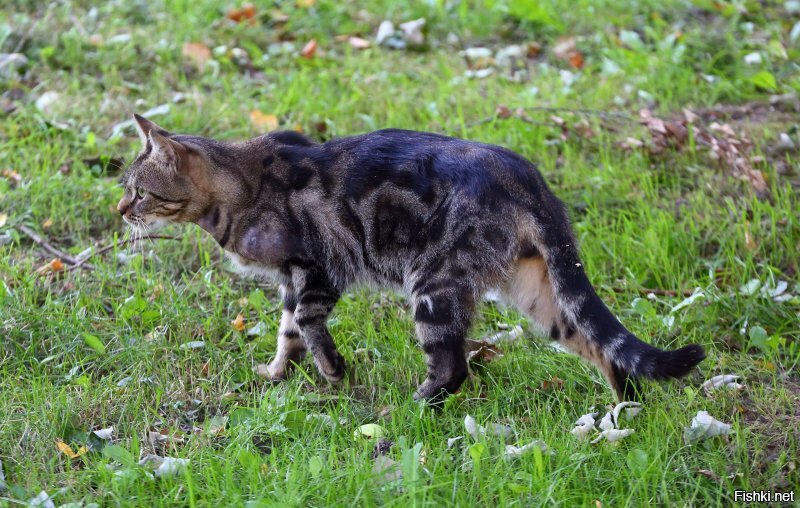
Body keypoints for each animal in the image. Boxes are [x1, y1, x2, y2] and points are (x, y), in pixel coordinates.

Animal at [115, 116, 704, 404]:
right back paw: (623, 417)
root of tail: (526, 174)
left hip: (434, 285)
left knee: (453, 367)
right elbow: (286, 330)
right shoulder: (290, 278)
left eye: (139, 192)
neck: (238, 190)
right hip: (537, 291)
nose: (119, 211)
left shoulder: (319, 266)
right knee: (602, 347)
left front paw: (333, 371)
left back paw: (415, 404)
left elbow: (305, 321)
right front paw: (279, 372)